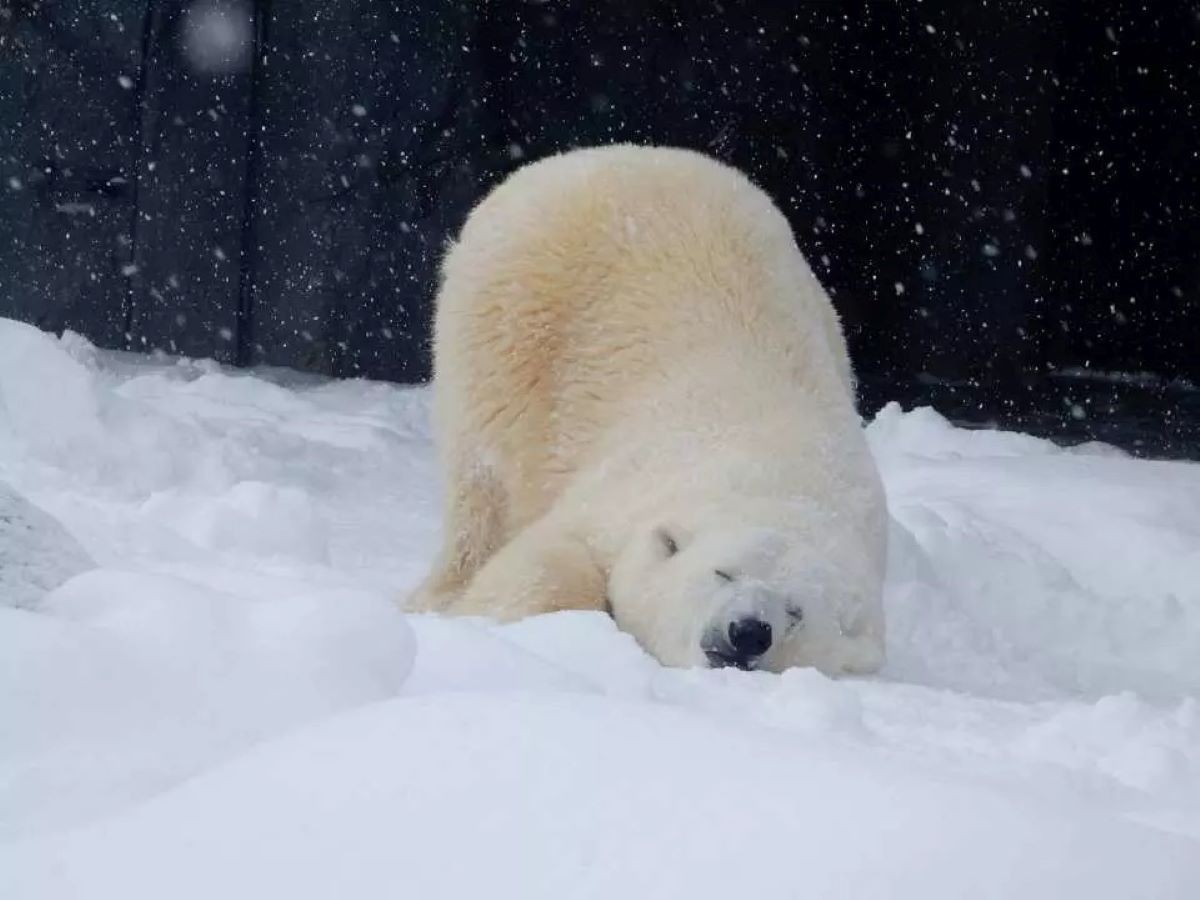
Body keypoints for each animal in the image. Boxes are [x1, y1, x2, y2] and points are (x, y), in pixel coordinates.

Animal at [408, 142, 888, 676]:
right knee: (483, 485)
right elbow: (555, 557)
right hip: (506, 325)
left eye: (796, 611)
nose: (747, 630)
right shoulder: (622, 497)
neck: (782, 474)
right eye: (722, 573)